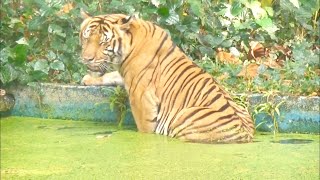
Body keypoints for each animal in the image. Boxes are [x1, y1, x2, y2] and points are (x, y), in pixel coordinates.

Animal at [79, 10, 255, 143]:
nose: (86, 59)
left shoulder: (141, 97)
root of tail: (245, 135)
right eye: (86, 38)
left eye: (103, 42)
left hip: (182, 117)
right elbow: (112, 74)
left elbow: (145, 128)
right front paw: (88, 78)